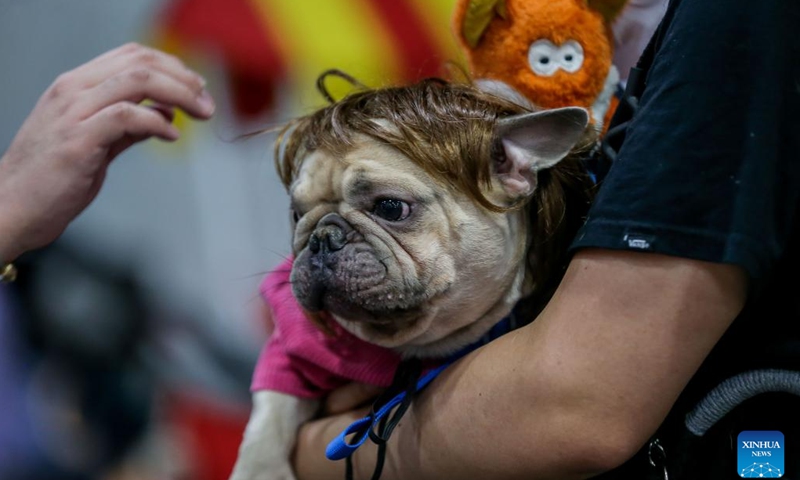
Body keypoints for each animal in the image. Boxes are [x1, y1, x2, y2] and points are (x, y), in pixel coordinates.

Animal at [228, 77, 592, 478]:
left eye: (390, 207)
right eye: (296, 214)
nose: (322, 238)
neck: (406, 342)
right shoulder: (289, 354)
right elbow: (272, 414)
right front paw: (258, 470)